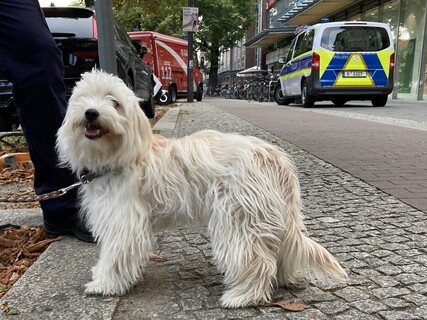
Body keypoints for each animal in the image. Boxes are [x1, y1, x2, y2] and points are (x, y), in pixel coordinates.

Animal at [56, 69, 348, 308]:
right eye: (84, 99)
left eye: (114, 102)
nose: (91, 113)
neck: (119, 156)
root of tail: (273, 154)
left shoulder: (124, 223)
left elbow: (115, 255)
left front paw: (105, 284)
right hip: (267, 217)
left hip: (238, 219)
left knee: (257, 259)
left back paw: (243, 296)